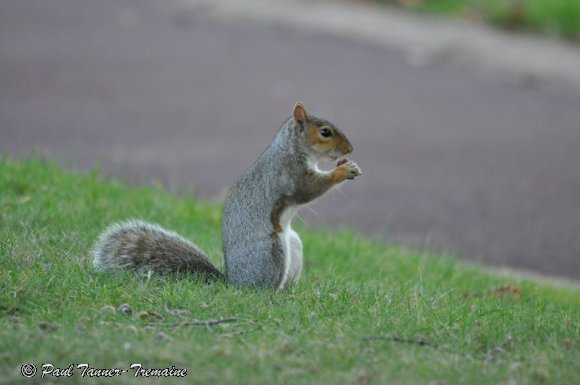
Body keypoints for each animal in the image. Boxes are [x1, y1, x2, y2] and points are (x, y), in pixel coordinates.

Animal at [92, 103, 360, 288]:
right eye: (325, 132)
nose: (349, 149)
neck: (291, 147)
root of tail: (234, 282)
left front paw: (346, 164)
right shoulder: (289, 174)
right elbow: (309, 188)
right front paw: (342, 170)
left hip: (293, 243)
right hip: (272, 250)